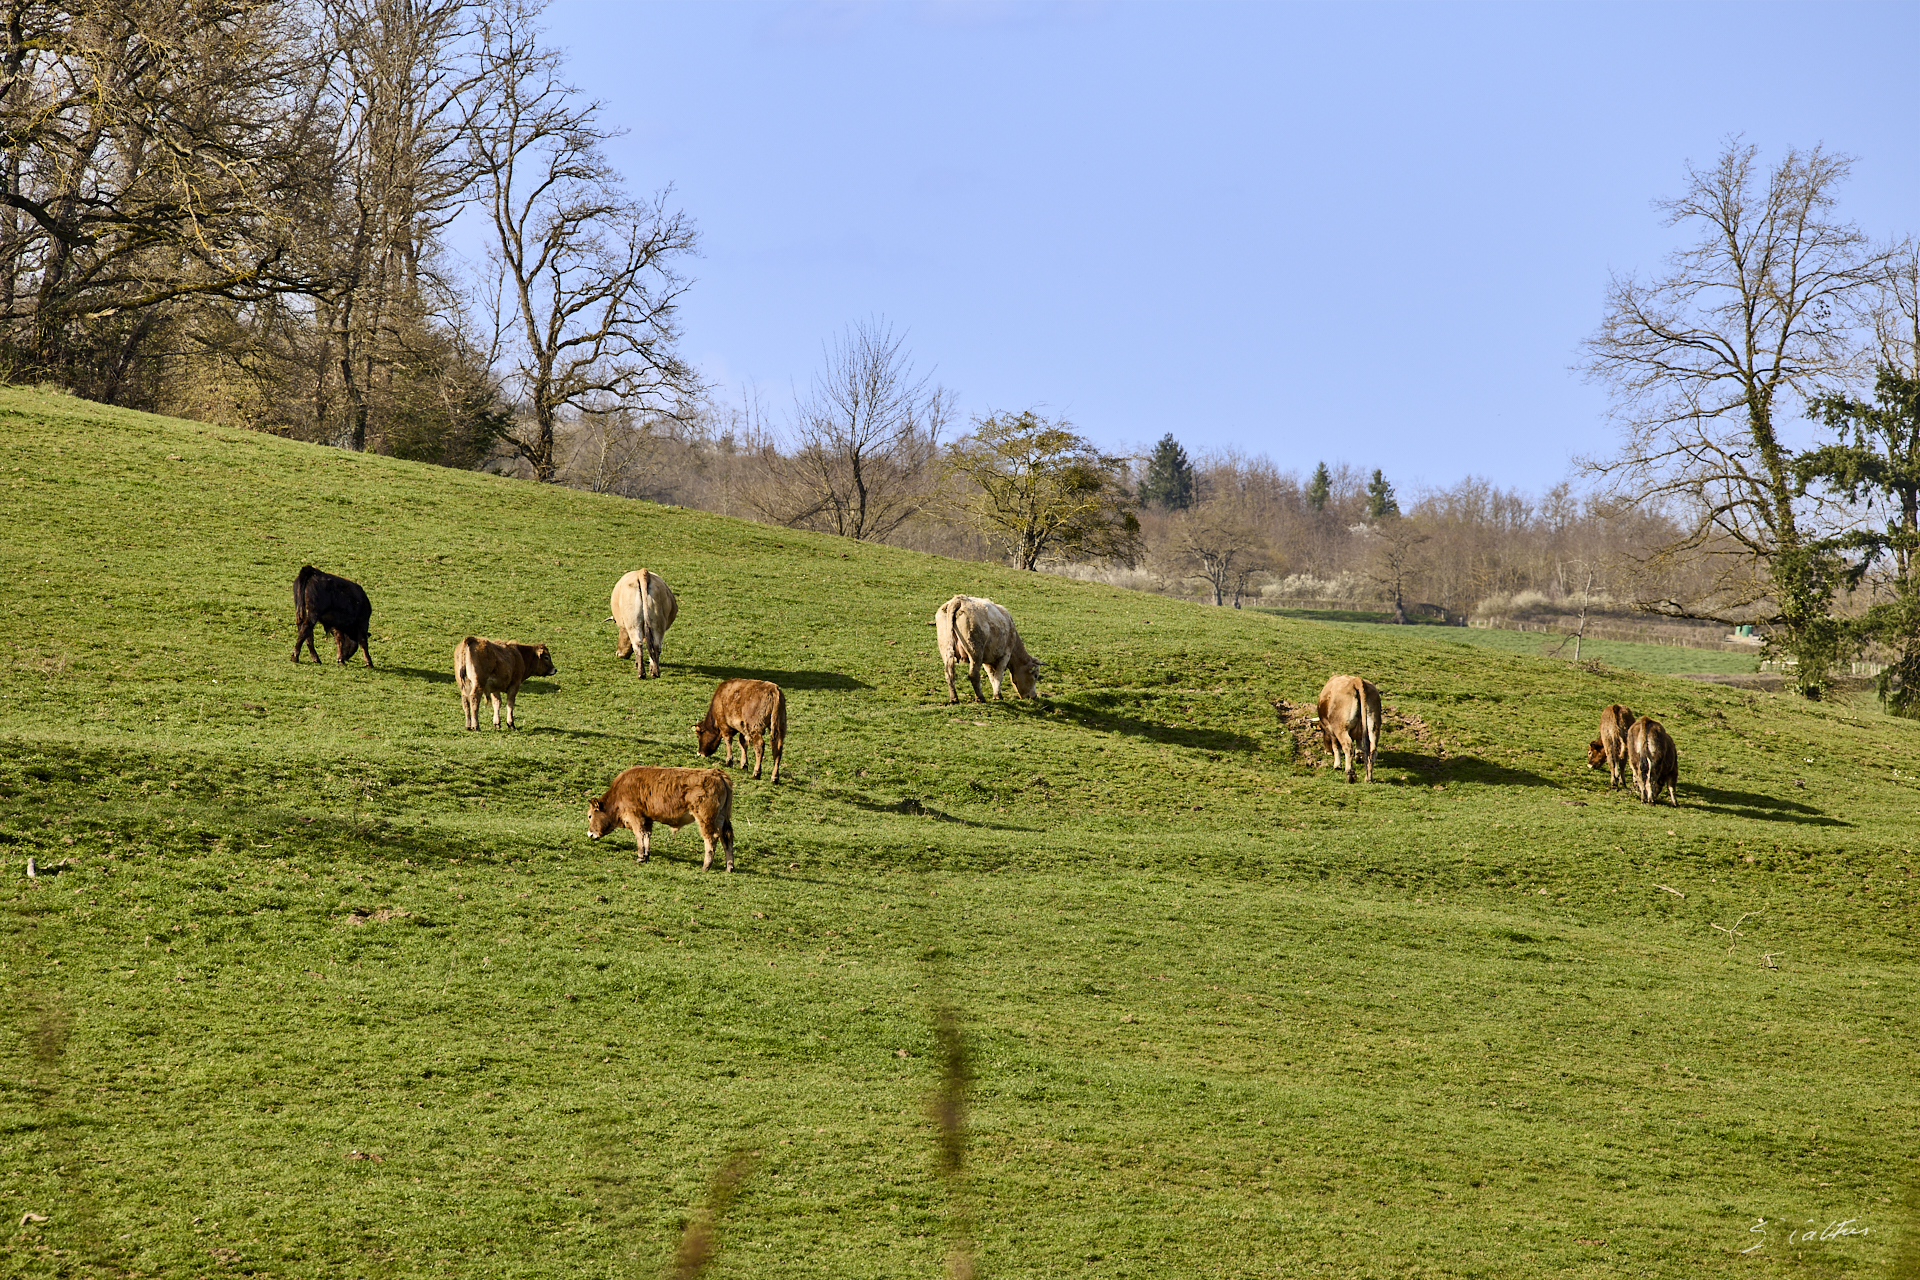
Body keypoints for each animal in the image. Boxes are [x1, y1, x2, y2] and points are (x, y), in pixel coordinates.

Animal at [587, 766, 735, 871]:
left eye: (589, 816)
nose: (589, 834)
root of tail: (716, 773)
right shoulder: (647, 818)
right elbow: (647, 835)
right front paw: (646, 855)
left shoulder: (635, 816)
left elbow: (639, 834)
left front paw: (640, 856)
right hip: (721, 818)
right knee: (726, 838)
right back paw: (730, 866)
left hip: (705, 818)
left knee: (711, 838)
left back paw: (706, 866)